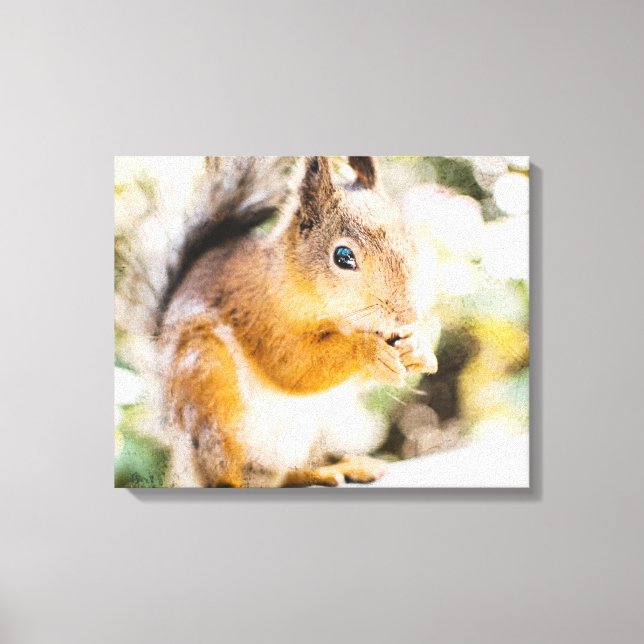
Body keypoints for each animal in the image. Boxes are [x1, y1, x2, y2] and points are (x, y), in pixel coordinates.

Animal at [153, 156, 438, 487]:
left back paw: (333, 469)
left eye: (411, 243)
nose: (409, 315)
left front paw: (419, 349)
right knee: (221, 472)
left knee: (284, 474)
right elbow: (293, 365)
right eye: (343, 256)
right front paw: (367, 350)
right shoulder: (261, 315)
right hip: (208, 387)